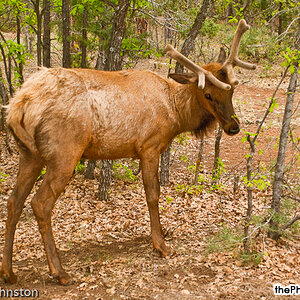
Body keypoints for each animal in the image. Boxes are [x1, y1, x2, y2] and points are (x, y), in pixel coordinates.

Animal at [1, 19, 255, 284]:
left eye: (231, 91)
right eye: (208, 94)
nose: (234, 127)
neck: (176, 115)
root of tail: (19, 104)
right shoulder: (149, 146)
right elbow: (153, 195)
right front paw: (161, 245)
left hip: (30, 154)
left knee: (14, 200)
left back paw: (8, 271)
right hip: (64, 152)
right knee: (40, 203)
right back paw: (59, 271)